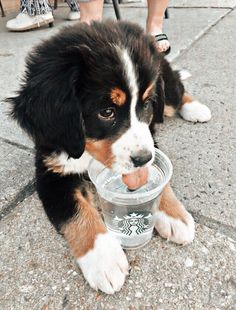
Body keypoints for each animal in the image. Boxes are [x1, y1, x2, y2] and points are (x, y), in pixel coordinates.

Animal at [8, 20, 212, 294]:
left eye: (147, 104)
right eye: (106, 112)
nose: (142, 158)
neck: (84, 148)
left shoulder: (151, 137)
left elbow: (161, 181)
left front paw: (174, 215)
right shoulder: (51, 172)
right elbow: (76, 212)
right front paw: (104, 259)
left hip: (166, 88)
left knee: (177, 92)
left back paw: (196, 108)